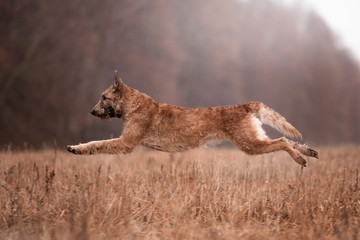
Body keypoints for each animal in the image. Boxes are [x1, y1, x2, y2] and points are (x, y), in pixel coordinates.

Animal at [67, 70, 318, 166]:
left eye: (104, 97)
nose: (91, 112)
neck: (132, 104)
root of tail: (245, 105)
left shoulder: (126, 143)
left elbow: (97, 143)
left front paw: (76, 148)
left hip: (250, 144)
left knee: (283, 141)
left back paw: (300, 158)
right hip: (255, 139)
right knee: (289, 141)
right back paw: (308, 151)